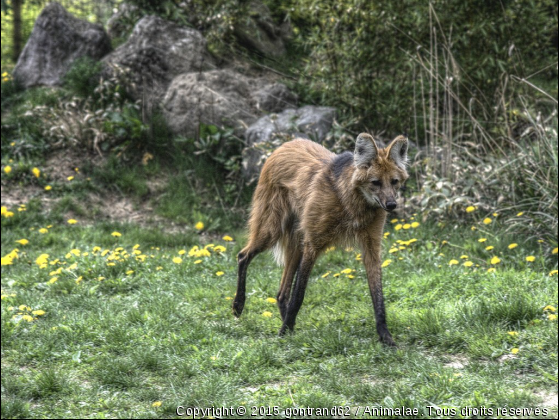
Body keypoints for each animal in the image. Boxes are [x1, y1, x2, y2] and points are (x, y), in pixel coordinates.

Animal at [231, 133, 406, 346]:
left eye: (394, 181)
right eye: (376, 182)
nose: (391, 204)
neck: (352, 203)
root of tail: (284, 145)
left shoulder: (371, 247)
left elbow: (378, 296)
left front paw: (386, 336)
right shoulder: (313, 243)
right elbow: (299, 294)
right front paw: (283, 332)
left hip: (297, 242)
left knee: (281, 293)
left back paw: (288, 326)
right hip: (272, 230)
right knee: (243, 255)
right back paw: (239, 305)